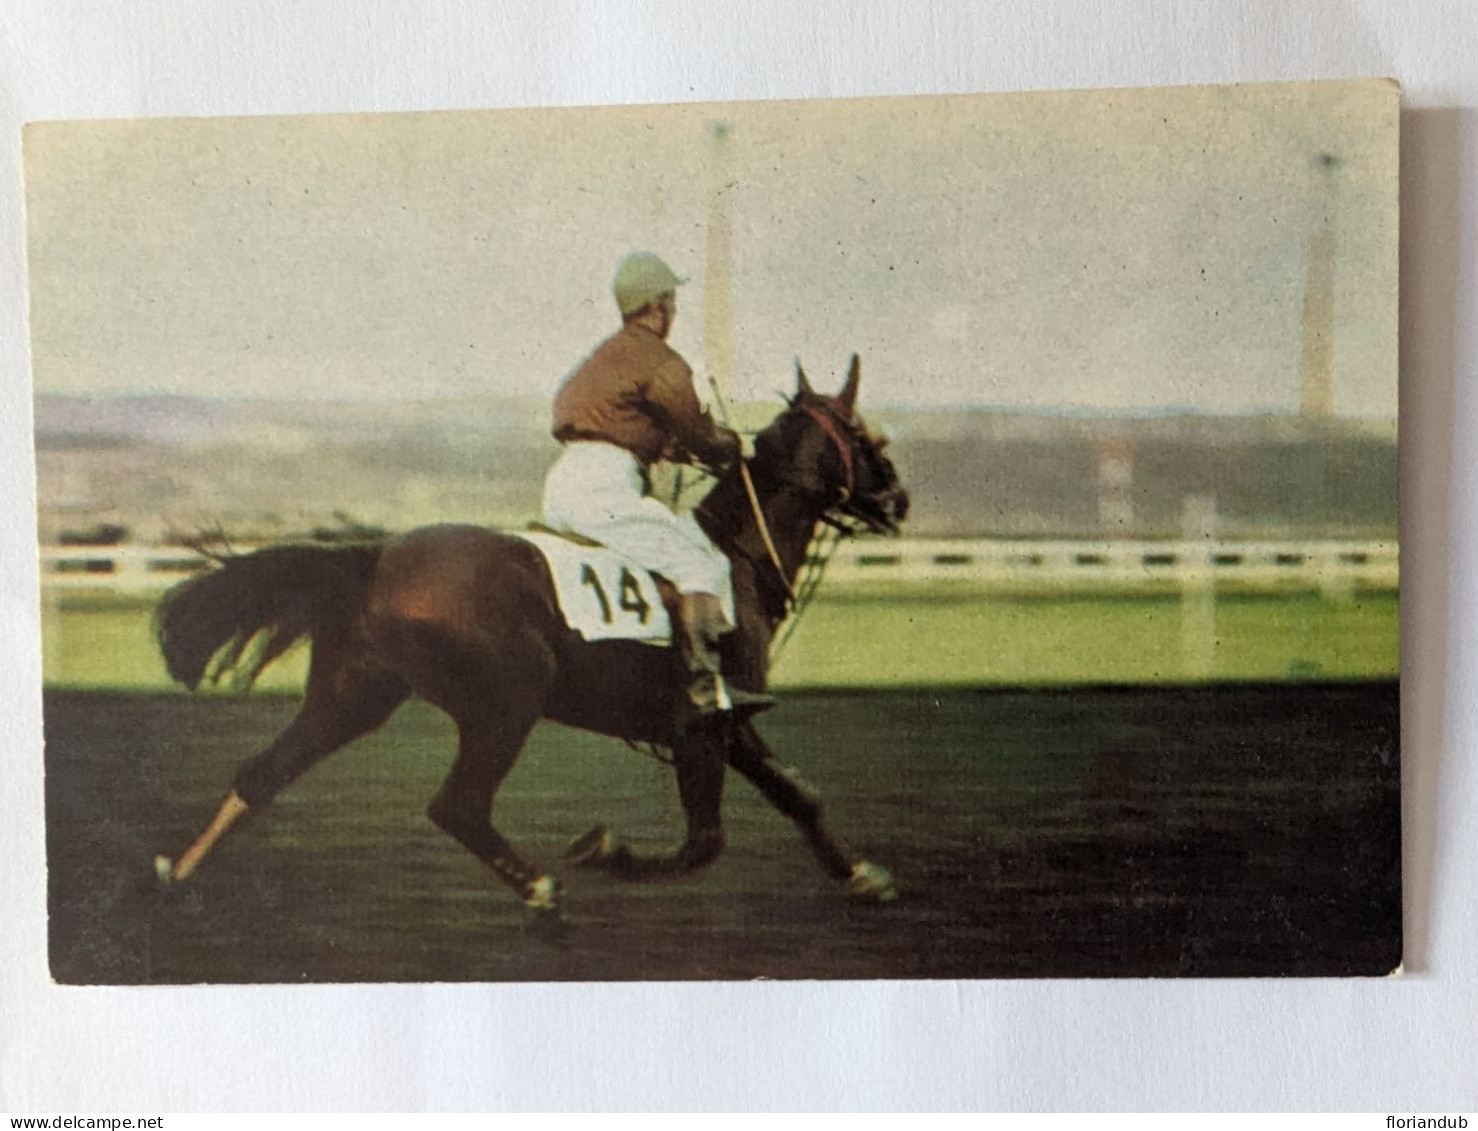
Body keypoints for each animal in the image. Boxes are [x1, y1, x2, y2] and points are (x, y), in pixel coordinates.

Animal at [155, 357, 904, 922]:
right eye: (867, 436)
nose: (899, 501)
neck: (734, 557)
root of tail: (376, 558)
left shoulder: (728, 722)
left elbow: (797, 795)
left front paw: (863, 874)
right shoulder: (704, 725)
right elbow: (705, 841)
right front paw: (606, 850)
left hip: (354, 696)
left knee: (263, 773)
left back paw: (176, 872)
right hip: (505, 703)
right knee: (456, 804)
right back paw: (540, 886)